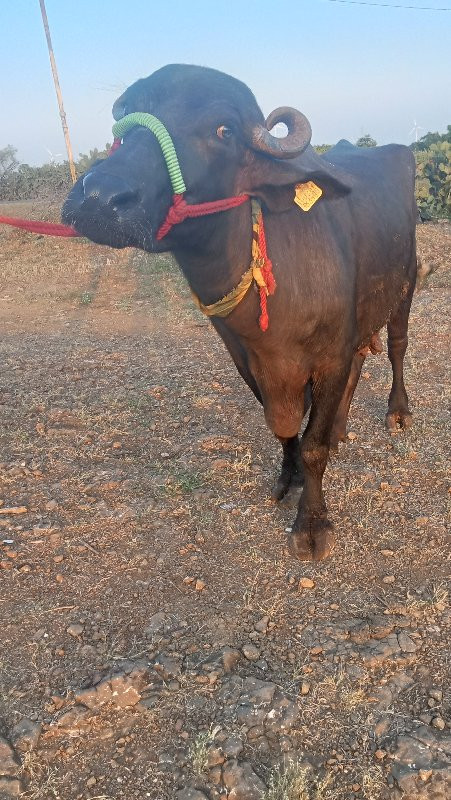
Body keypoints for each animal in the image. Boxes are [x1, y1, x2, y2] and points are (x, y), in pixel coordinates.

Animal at [61, 64, 418, 564]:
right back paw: (341, 426)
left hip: (406, 281)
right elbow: (285, 431)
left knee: (397, 346)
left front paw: (311, 523)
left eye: (223, 130)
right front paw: (288, 477)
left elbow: (312, 446)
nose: (98, 197)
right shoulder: (247, 359)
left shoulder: (328, 355)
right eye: (126, 115)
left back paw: (397, 412)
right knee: (359, 364)